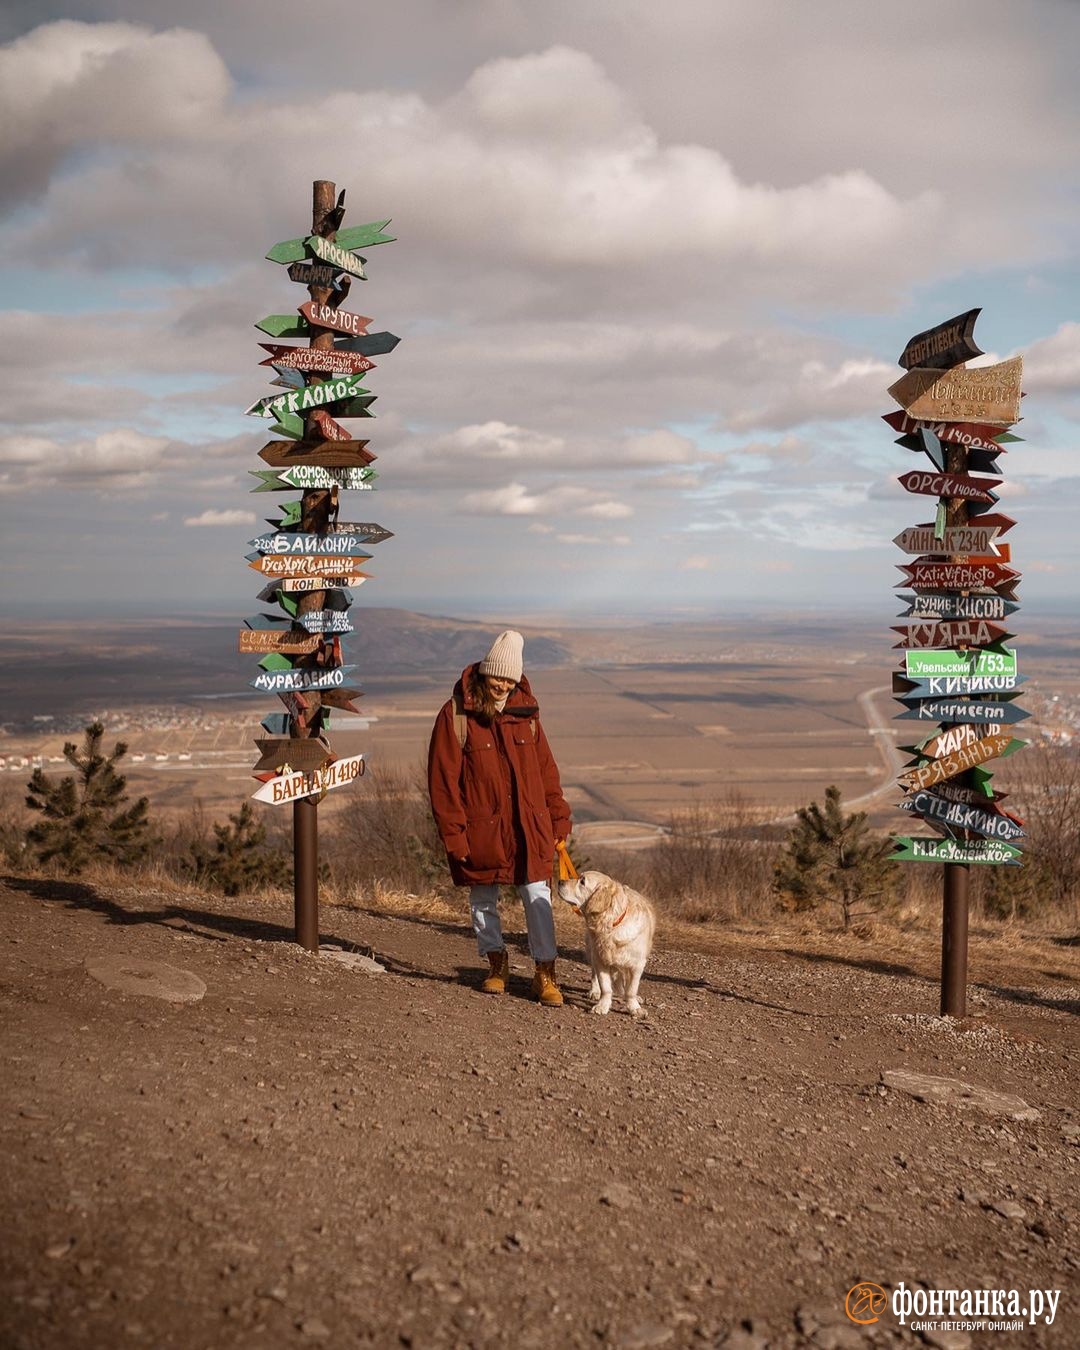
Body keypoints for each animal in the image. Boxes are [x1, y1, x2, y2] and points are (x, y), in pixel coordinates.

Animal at [561, 869, 653, 1015]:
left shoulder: (637, 964)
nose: (559, 881)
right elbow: (605, 987)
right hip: (592, 951)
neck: (611, 925)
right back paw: (595, 991)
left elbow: (631, 990)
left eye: (582, 881)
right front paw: (602, 1006)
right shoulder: (600, 959)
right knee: (594, 975)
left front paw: (635, 1008)